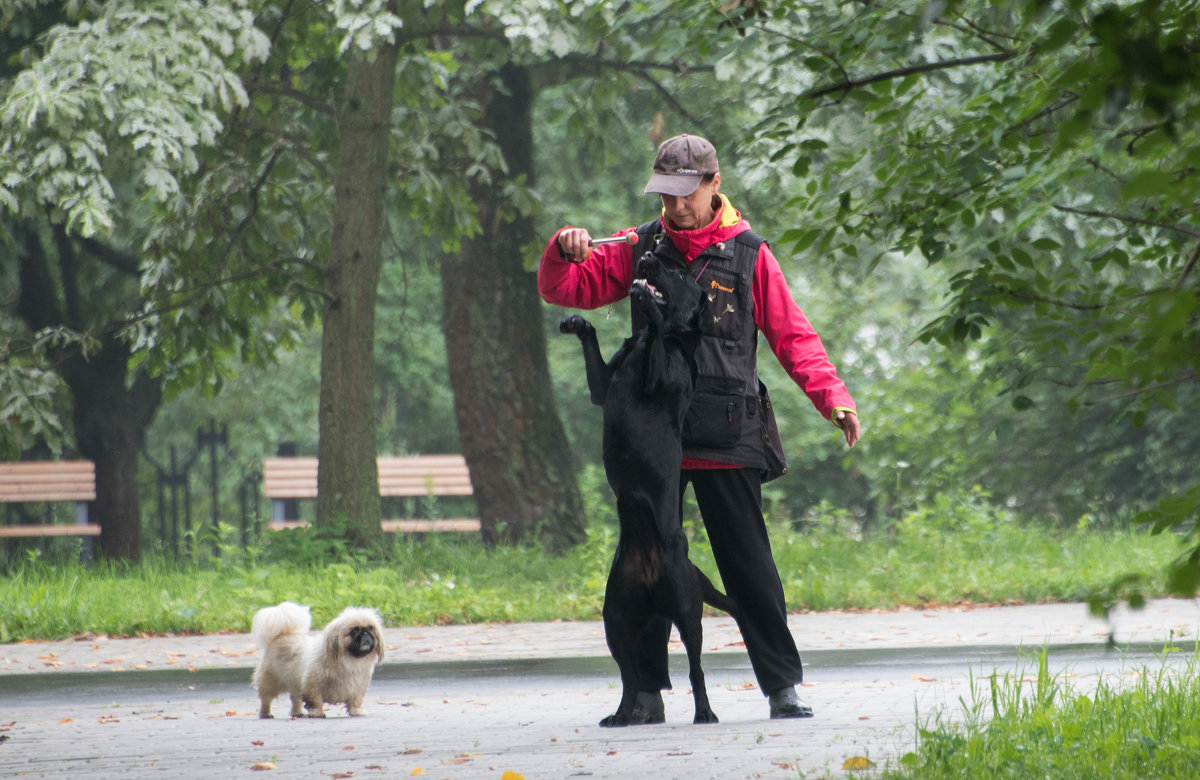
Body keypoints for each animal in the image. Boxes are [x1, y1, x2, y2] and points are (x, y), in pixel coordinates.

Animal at [252, 602, 384, 715]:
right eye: (354, 631)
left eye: (371, 628)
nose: (366, 633)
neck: (350, 661)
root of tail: (281, 635)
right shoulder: (312, 684)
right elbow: (316, 700)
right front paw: (317, 712)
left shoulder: (358, 687)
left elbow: (356, 701)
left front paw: (356, 711)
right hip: (270, 681)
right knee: (266, 699)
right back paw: (265, 714)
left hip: (295, 683)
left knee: (295, 699)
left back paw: (297, 713)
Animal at [561, 253, 739, 724]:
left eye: (677, 274)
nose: (645, 256)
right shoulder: (603, 387)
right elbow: (597, 367)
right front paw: (578, 323)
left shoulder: (661, 380)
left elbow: (659, 334)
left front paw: (653, 311)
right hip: (616, 619)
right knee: (630, 676)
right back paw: (621, 715)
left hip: (688, 611)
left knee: (695, 668)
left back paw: (705, 712)